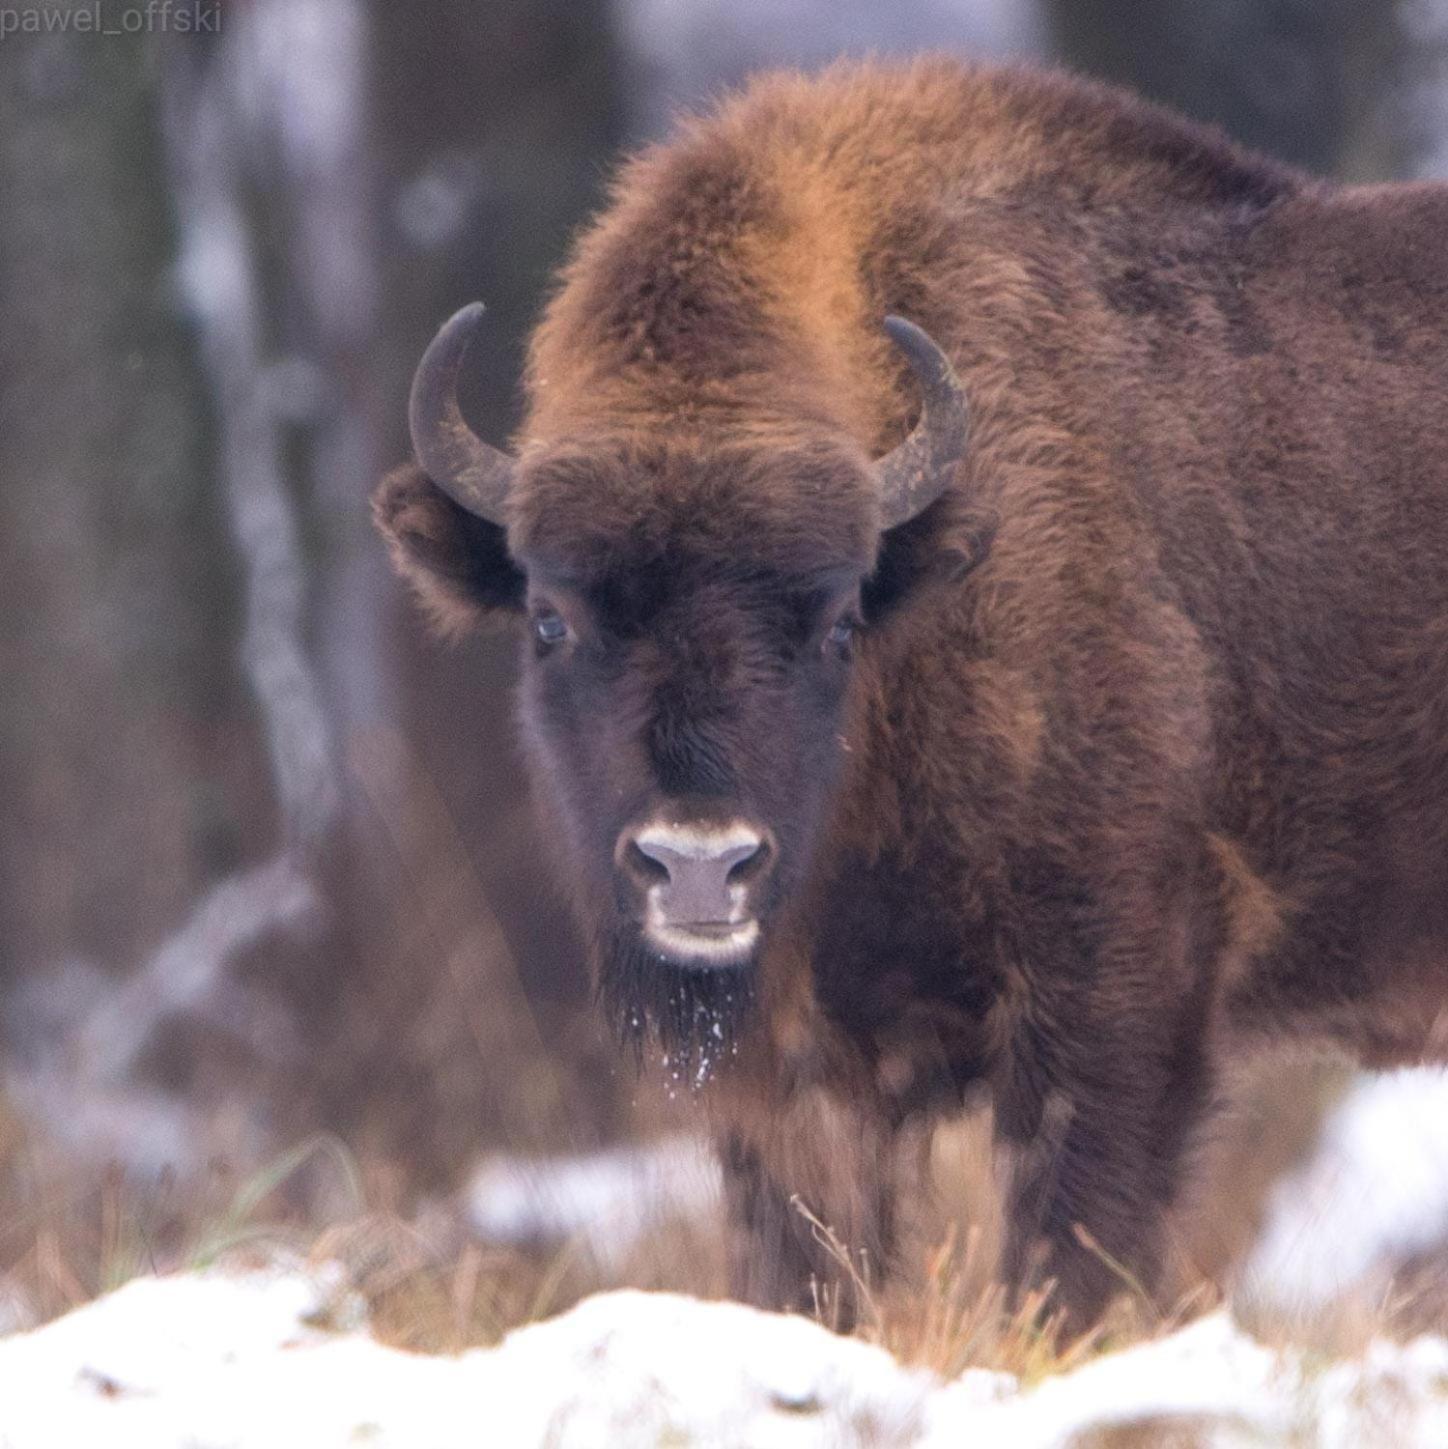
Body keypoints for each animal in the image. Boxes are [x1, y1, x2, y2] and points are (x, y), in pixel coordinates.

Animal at [371, 56, 1448, 1327]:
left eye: (837, 620)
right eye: (550, 618)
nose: (700, 864)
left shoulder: (1112, 1001)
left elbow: (1064, 1261)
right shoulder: (803, 1084)